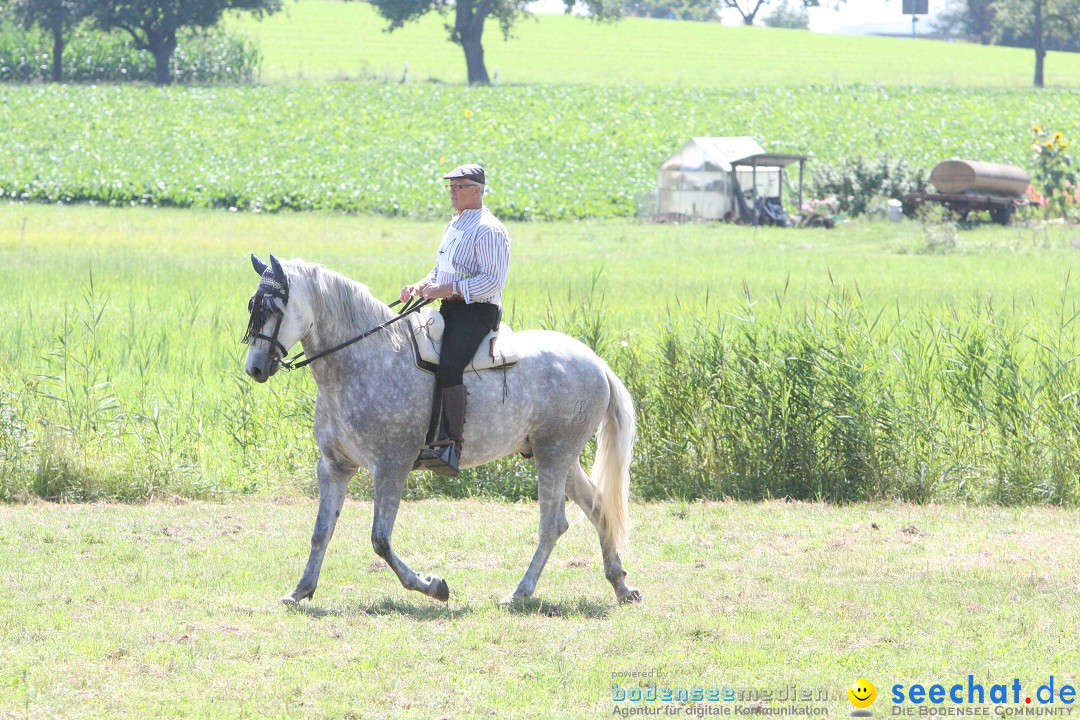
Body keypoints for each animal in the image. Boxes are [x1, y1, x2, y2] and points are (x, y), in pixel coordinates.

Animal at [245, 255, 639, 604]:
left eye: (274, 309)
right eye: (254, 308)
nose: (255, 369)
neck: (364, 360)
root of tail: (596, 362)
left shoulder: (391, 466)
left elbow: (380, 539)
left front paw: (433, 586)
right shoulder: (334, 465)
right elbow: (321, 531)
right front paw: (300, 591)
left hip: (554, 453)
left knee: (553, 525)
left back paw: (519, 594)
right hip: (556, 455)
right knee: (598, 507)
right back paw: (621, 586)